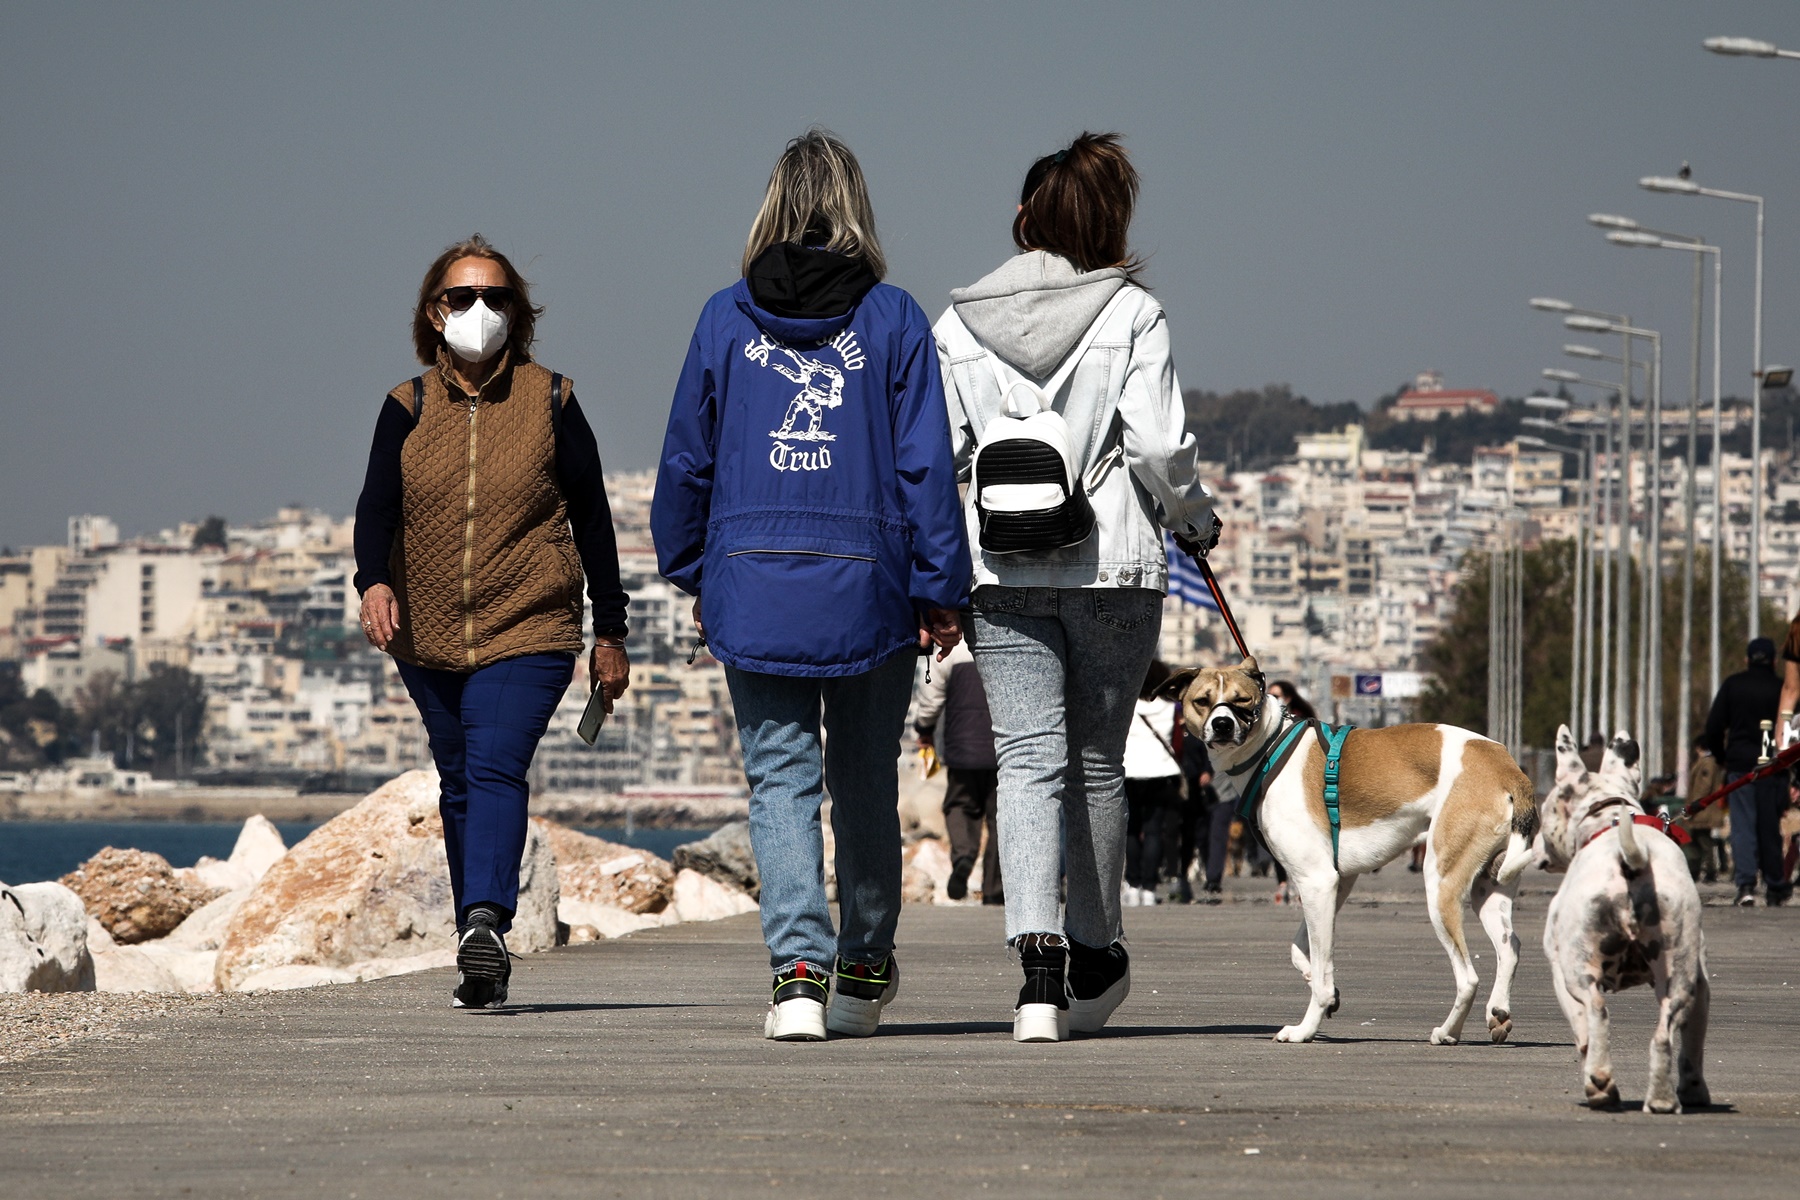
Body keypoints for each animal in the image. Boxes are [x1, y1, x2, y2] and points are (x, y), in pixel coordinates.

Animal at [1159, 658, 1540, 1043]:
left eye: (1242, 701)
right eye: (1203, 701)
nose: (1222, 724)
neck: (1270, 746)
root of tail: (1507, 768)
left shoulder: (1316, 880)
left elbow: (1318, 970)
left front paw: (1306, 1027)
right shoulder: (1336, 882)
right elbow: (1304, 951)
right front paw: (1326, 987)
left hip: (1441, 886)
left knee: (1468, 977)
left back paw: (1447, 1032)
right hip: (1488, 887)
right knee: (1510, 947)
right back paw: (1498, 1012)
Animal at [1540, 726, 1706, 1115]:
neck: (1608, 819)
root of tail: (1631, 862)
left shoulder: (1560, 975)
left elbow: (1582, 1029)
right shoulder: (1701, 985)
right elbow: (1693, 1047)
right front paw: (1694, 1090)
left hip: (1579, 972)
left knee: (1597, 1012)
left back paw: (1601, 1085)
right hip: (1679, 976)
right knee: (1664, 1035)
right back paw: (1662, 1099)